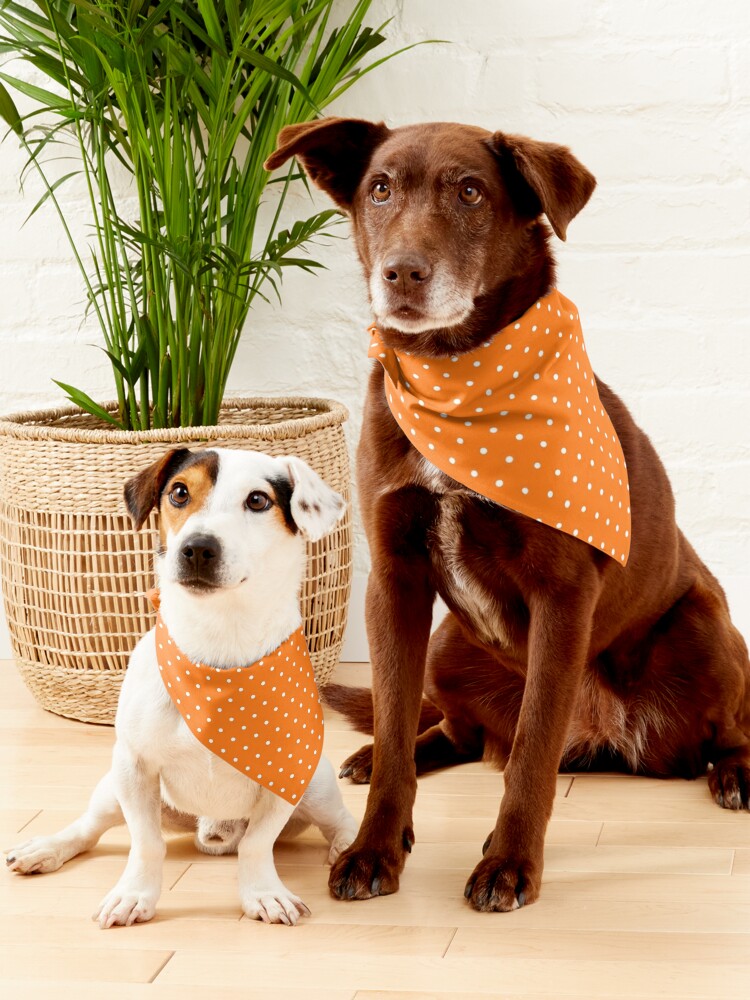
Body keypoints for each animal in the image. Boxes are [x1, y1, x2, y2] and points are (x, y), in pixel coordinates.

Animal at [5, 450, 358, 924]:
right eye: (179, 492)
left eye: (258, 500)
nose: (198, 547)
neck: (217, 645)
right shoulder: (133, 766)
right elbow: (146, 843)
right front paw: (134, 894)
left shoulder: (285, 773)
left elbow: (257, 844)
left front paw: (262, 893)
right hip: (113, 788)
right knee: (88, 828)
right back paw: (46, 848)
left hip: (316, 785)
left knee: (340, 820)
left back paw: (349, 849)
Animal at [266, 121, 750, 912]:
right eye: (380, 188)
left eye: (470, 192)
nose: (402, 273)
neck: (453, 374)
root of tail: (610, 740)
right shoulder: (393, 581)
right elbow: (397, 722)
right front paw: (374, 847)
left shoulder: (562, 597)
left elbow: (530, 754)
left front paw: (508, 863)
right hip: (448, 647)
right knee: (454, 730)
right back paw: (379, 754)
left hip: (702, 632)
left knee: (728, 726)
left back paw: (735, 773)